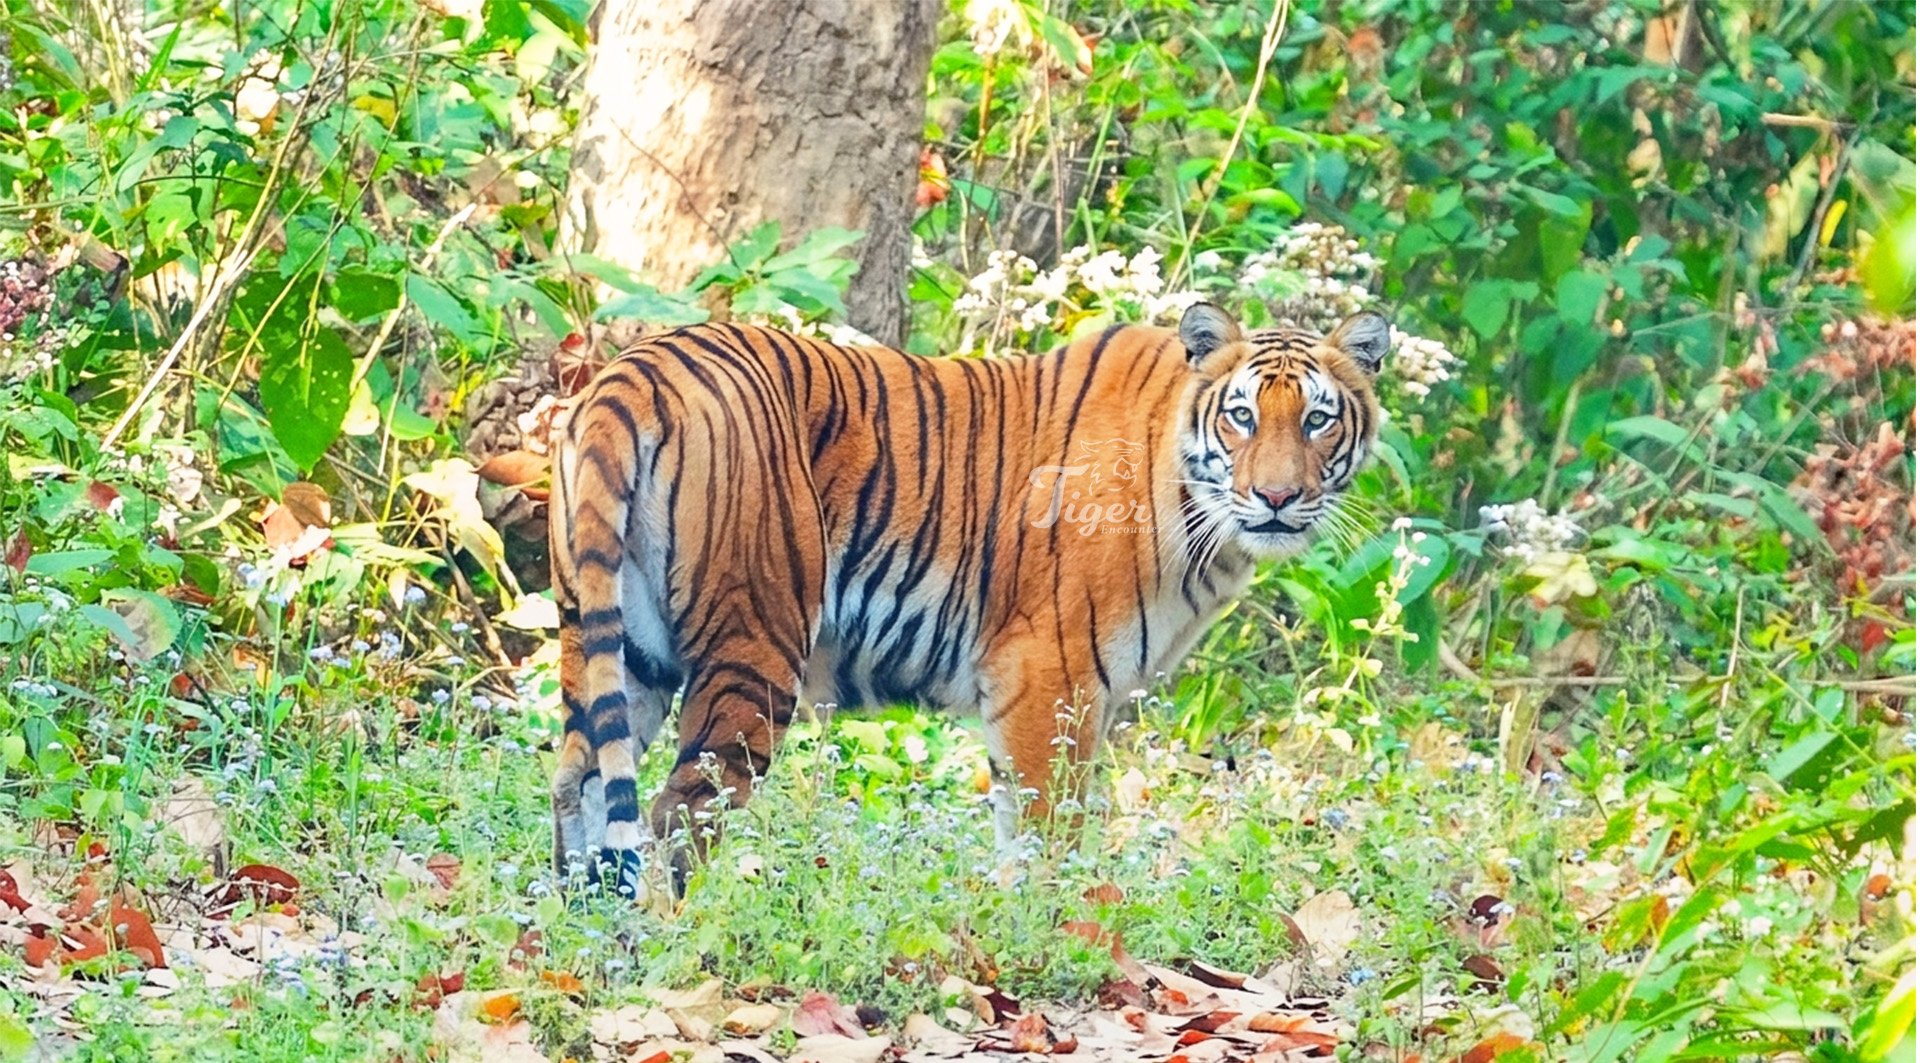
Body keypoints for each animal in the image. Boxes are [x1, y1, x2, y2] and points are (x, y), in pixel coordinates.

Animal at [548, 300, 1391, 893]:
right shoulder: (1051, 675)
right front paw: (1054, 936)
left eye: (1318, 419)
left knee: (576, 790)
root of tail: (635, 367)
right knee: (675, 814)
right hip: (754, 645)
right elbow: (1050, 833)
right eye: (1242, 415)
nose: (1277, 497)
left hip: (614, 643)